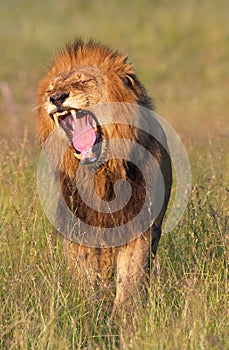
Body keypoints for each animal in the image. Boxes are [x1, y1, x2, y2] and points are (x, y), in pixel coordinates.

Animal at [36, 39, 172, 314]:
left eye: (84, 81)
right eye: (51, 89)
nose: (56, 98)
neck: (101, 175)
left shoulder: (139, 228)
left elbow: (130, 281)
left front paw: (124, 318)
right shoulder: (78, 229)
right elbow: (86, 278)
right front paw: (89, 310)